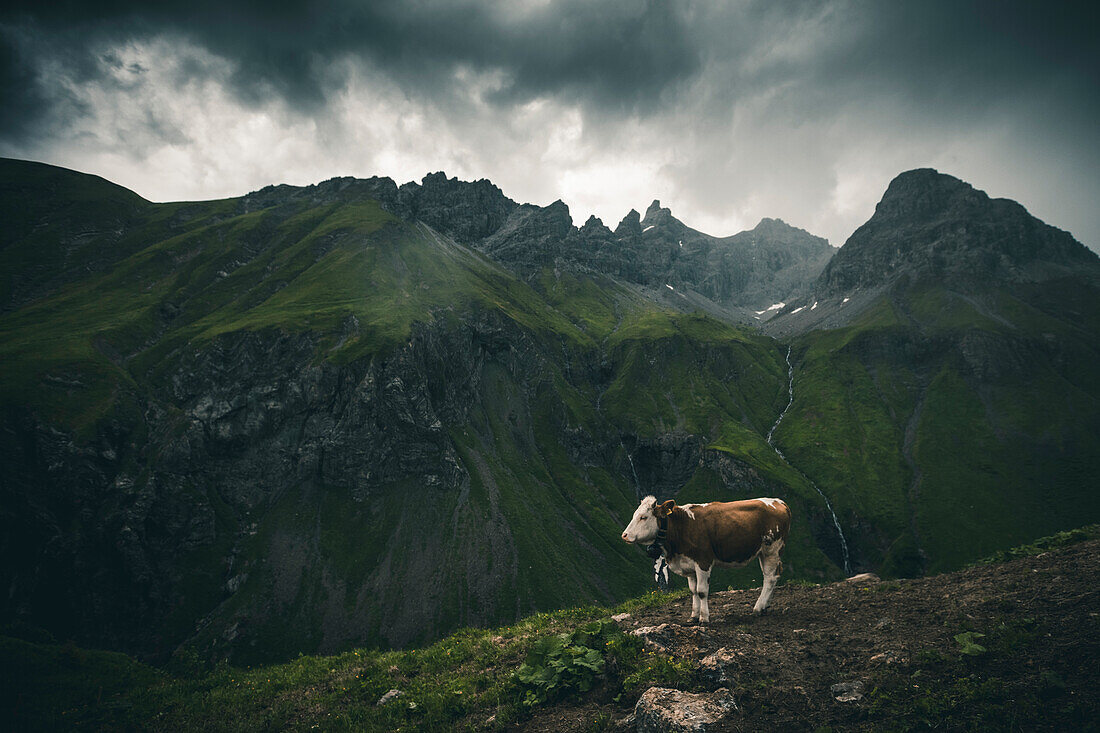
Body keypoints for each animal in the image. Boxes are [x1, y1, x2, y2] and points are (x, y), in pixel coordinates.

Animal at [620, 493, 792, 620]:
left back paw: (758, 608)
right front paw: (693, 616)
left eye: (643, 517)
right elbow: (693, 591)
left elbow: (702, 591)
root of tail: (779, 502)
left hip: (772, 548)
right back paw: (765, 606)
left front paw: (704, 618)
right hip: (763, 552)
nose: (624, 535)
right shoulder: (688, 565)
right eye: (635, 515)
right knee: (772, 575)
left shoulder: (703, 561)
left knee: (770, 577)